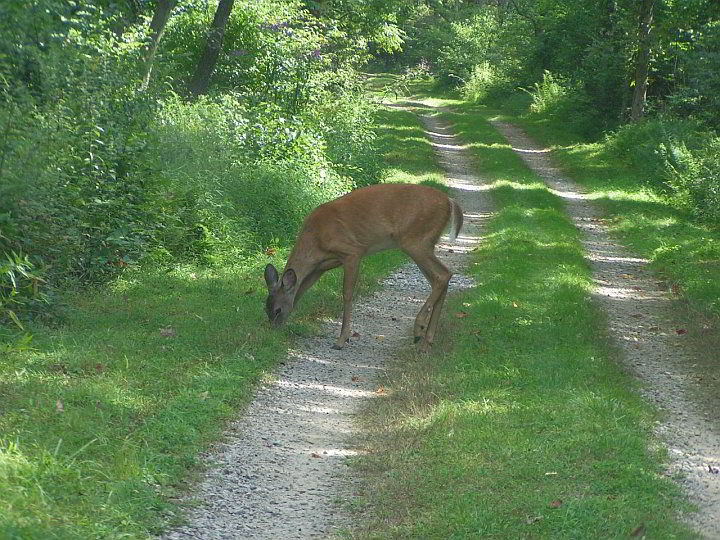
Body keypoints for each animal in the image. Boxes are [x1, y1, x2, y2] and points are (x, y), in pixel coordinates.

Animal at [262, 184, 462, 352]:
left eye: (277, 310)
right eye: (266, 308)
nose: (272, 329)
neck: (315, 241)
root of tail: (450, 201)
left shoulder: (352, 252)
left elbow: (347, 294)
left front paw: (342, 340)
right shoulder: (319, 268)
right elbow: (300, 291)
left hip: (416, 241)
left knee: (443, 275)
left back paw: (418, 329)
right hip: (423, 243)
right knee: (440, 278)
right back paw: (427, 342)